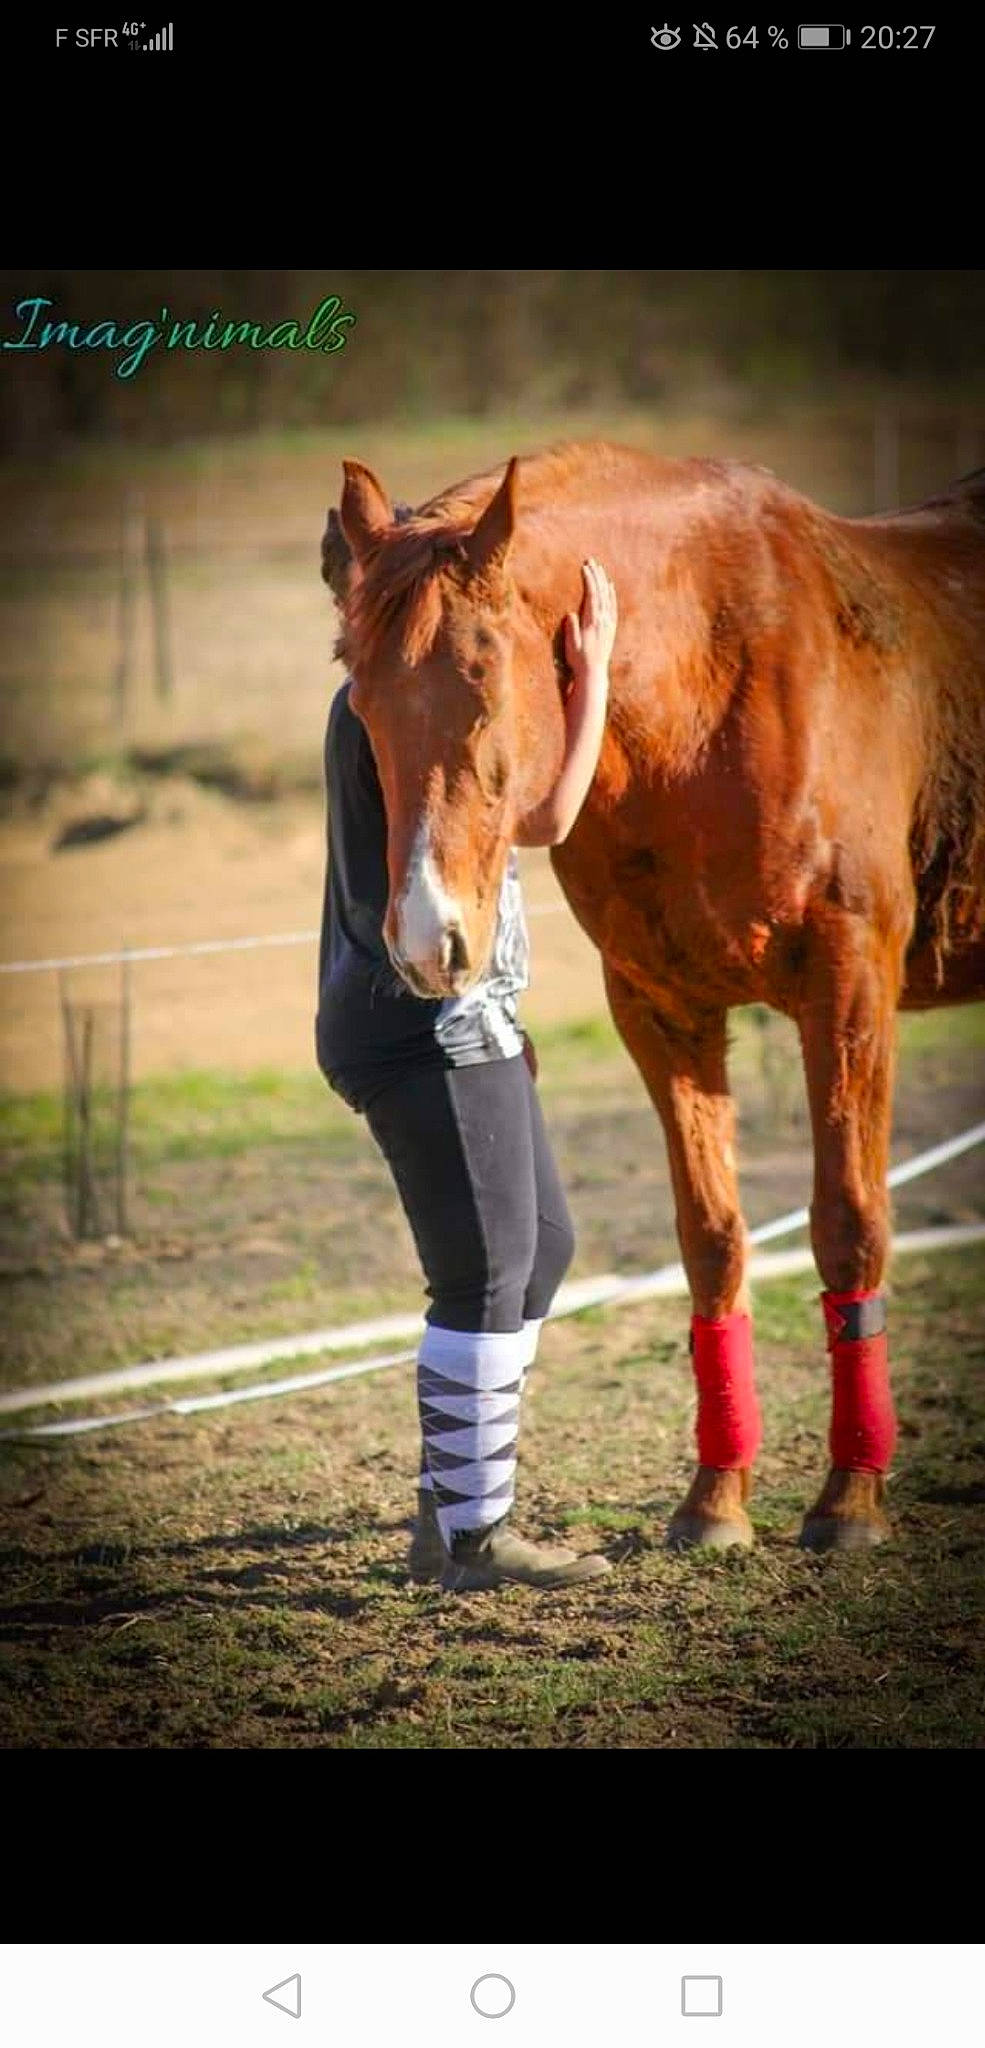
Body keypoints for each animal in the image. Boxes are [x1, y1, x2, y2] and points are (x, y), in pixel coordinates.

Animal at [326, 440, 985, 1552]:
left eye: (484, 685)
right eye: (362, 701)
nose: (426, 942)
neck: (710, 686)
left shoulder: (849, 989)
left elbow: (848, 1224)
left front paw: (850, 1497)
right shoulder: (660, 1008)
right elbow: (712, 1240)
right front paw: (715, 1499)